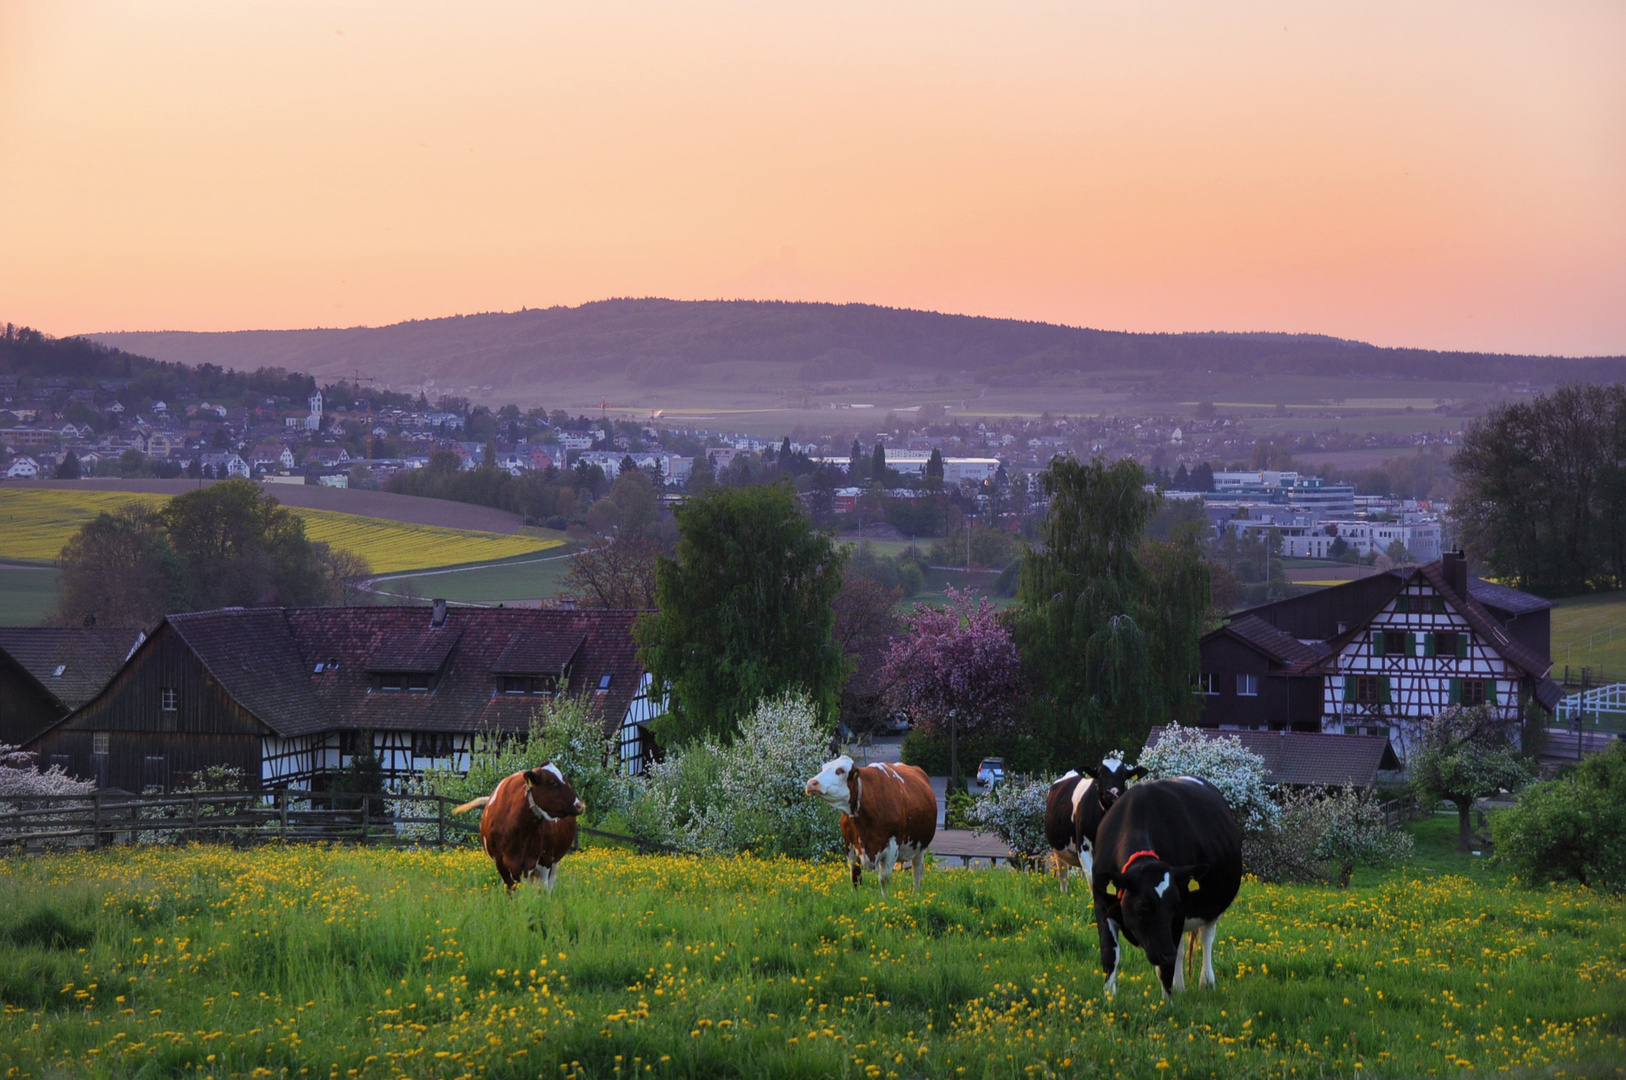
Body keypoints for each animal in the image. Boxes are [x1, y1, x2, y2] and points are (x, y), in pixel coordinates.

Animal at [452, 757, 585, 884]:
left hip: (553, 862)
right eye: (552, 782)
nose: (580, 805)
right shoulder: (501, 863)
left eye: (566, 780)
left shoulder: (540, 861)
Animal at [803, 751, 936, 891]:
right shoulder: (849, 845)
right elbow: (855, 877)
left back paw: (915, 892)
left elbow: (884, 879)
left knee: (917, 870)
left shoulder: (892, 846)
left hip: (920, 846)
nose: (811, 783)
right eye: (822, 768)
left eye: (840, 770)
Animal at [1040, 751, 1144, 891]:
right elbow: (1092, 879)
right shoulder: (1083, 848)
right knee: (1063, 878)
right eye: (1099, 774)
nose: (1112, 792)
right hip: (1058, 851)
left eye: (1123, 775)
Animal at [1092, 780, 1242, 1001]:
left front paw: (1167, 1003)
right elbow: (1109, 954)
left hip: (1212, 907)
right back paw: (1180, 986)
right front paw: (1109, 998)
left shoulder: (1179, 915)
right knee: (1180, 950)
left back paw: (1206, 982)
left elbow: (1165, 968)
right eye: (1144, 906)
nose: (1166, 953)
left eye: (1175, 903)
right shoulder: (1102, 903)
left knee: (1205, 938)